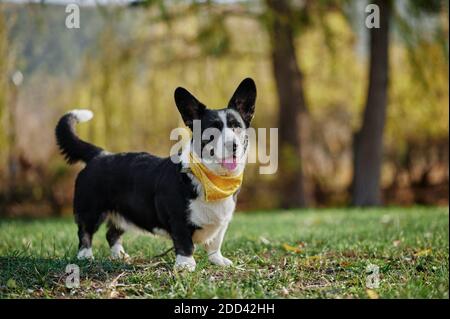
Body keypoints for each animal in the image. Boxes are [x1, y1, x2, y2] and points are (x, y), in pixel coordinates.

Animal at [55, 79, 256, 272]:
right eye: (211, 131)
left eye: (237, 127)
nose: (233, 145)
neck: (213, 179)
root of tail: (100, 154)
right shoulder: (178, 219)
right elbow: (185, 244)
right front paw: (185, 265)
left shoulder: (221, 223)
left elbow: (215, 243)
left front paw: (218, 260)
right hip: (91, 209)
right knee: (85, 232)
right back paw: (85, 256)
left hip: (123, 213)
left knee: (111, 233)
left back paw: (120, 256)